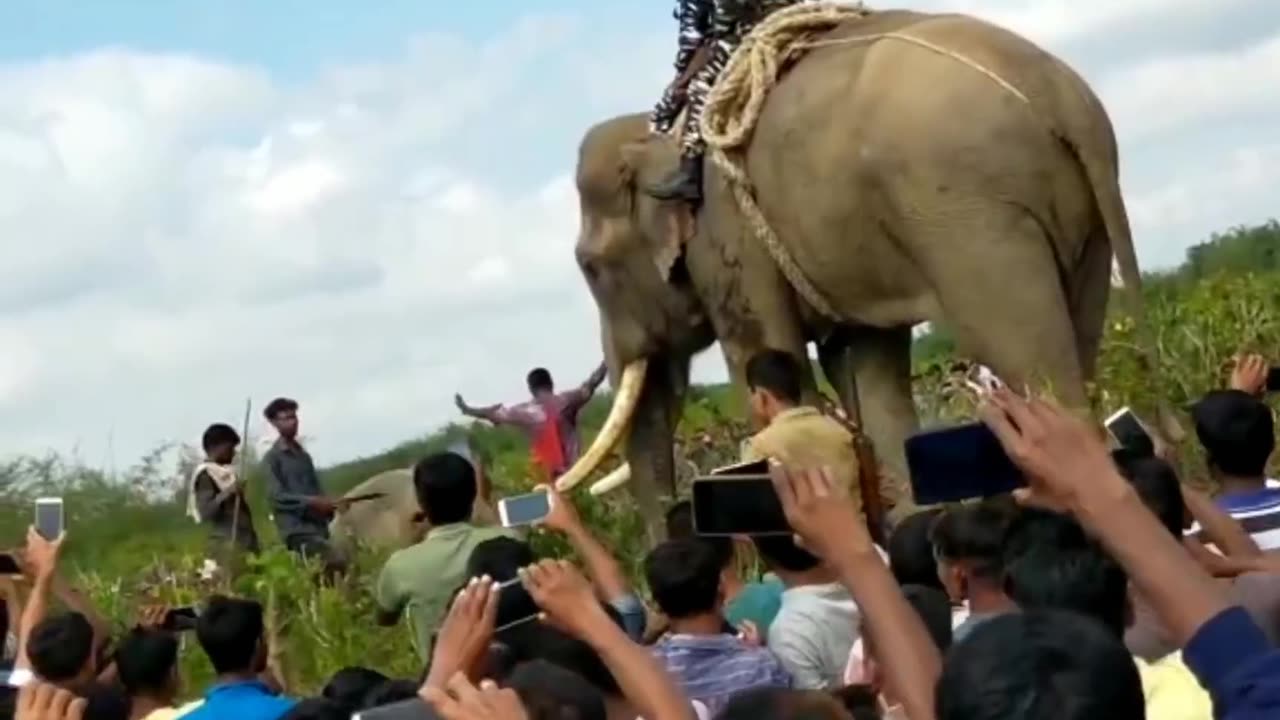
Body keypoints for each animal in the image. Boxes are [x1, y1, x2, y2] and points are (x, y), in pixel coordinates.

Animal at [555, 8, 1167, 535]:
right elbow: (866, 365)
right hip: (1077, 216)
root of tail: (1062, 98)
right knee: (1079, 341)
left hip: (973, 217)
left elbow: (763, 348)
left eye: (590, 267)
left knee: (1028, 361)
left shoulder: (723, 238)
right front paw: (906, 528)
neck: (661, 132)